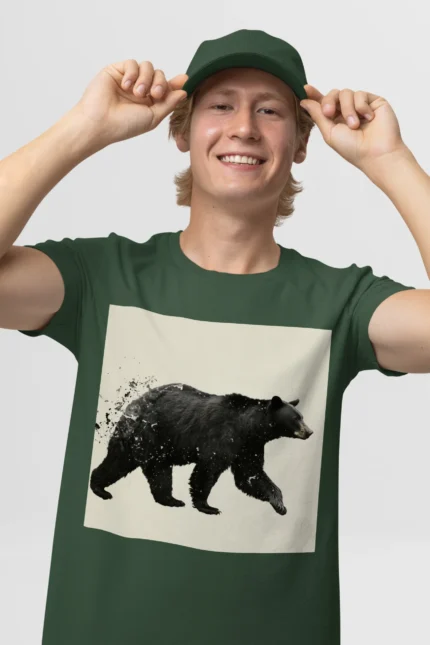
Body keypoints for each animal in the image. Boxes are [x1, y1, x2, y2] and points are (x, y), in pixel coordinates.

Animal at [90, 383, 313, 515]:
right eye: (295, 418)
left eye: (302, 416)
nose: (310, 431)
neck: (248, 428)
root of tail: (133, 404)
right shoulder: (222, 437)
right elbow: (208, 470)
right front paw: (207, 506)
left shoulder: (248, 447)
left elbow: (251, 474)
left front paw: (279, 504)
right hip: (147, 434)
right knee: (128, 463)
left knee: (139, 467)